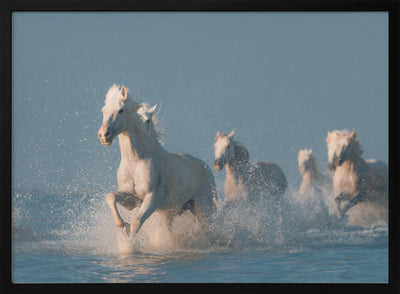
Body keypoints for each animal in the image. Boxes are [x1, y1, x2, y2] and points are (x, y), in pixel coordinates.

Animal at [98, 83, 217, 237]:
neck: (136, 161)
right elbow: (111, 196)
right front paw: (123, 225)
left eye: (120, 110)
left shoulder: (151, 199)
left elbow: (136, 224)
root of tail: (205, 167)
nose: (104, 136)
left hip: (204, 207)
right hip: (173, 212)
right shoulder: (132, 198)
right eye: (103, 110)